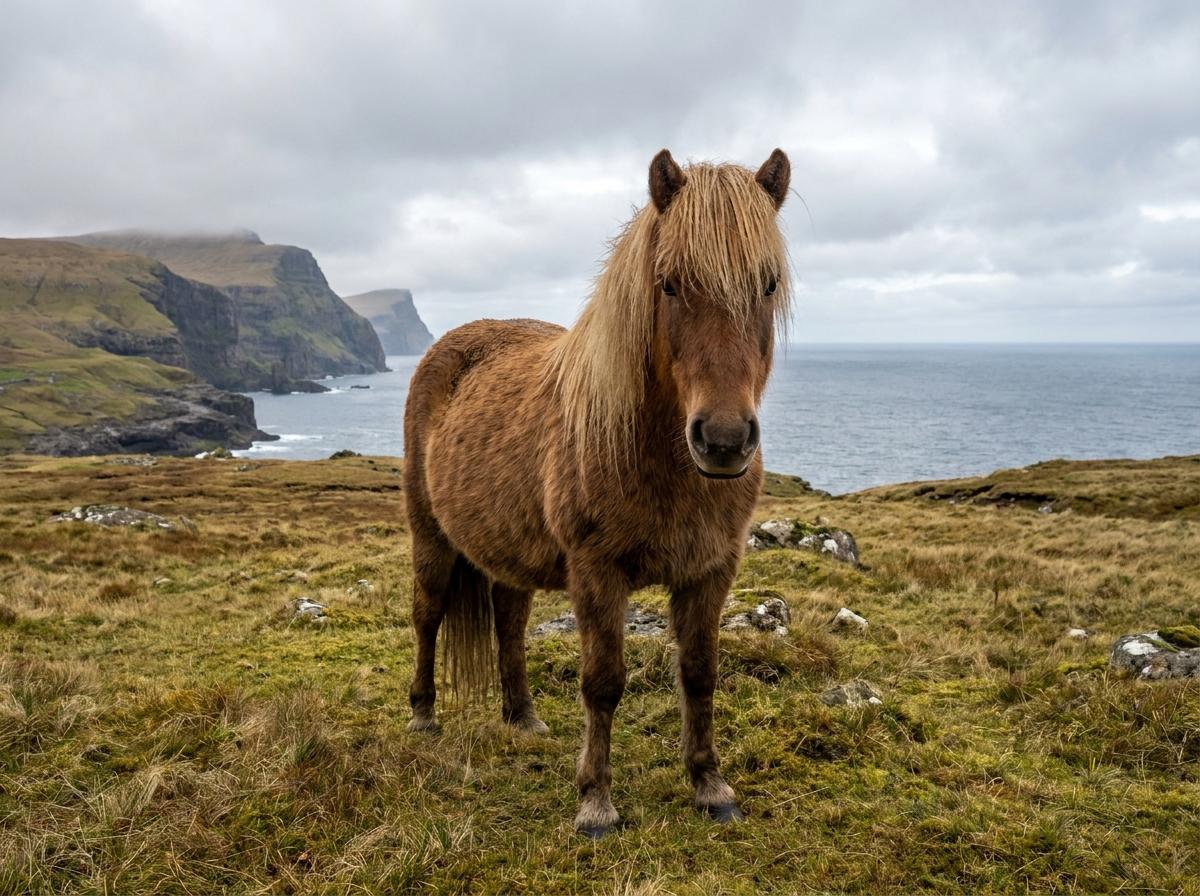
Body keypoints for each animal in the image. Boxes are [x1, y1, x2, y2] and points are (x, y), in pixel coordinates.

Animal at [403, 148, 791, 837]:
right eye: (669, 283)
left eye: (767, 284)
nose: (722, 440)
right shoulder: (596, 572)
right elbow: (603, 682)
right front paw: (595, 803)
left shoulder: (711, 572)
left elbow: (700, 674)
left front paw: (710, 785)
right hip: (431, 538)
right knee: (428, 614)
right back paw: (423, 714)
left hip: (509, 550)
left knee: (508, 619)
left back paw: (523, 716)